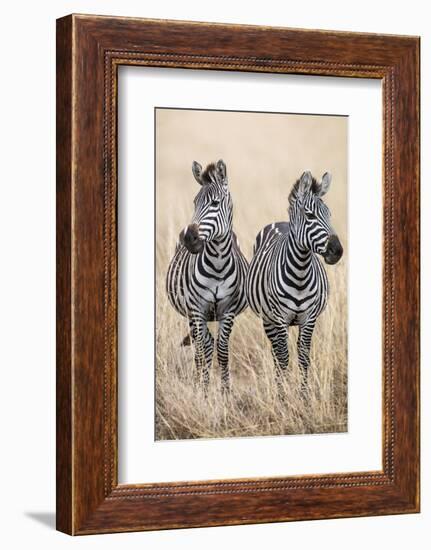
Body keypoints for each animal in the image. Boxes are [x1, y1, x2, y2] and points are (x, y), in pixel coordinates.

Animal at [168, 160, 250, 392]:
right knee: (200, 346)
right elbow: (204, 348)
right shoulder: (197, 309)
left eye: (215, 203)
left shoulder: (227, 311)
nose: (189, 238)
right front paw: (203, 390)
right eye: (195, 203)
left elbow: (222, 350)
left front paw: (225, 391)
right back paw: (198, 382)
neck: (218, 264)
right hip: (191, 314)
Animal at [246, 170, 344, 394]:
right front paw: (283, 397)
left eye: (329, 214)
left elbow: (304, 357)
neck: (300, 272)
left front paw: (304, 396)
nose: (337, 251)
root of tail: (280, 222)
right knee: (275, 352)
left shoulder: (309, 318)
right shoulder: (279, 318)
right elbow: (283, 359)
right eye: (310, 215)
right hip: (268, 319)